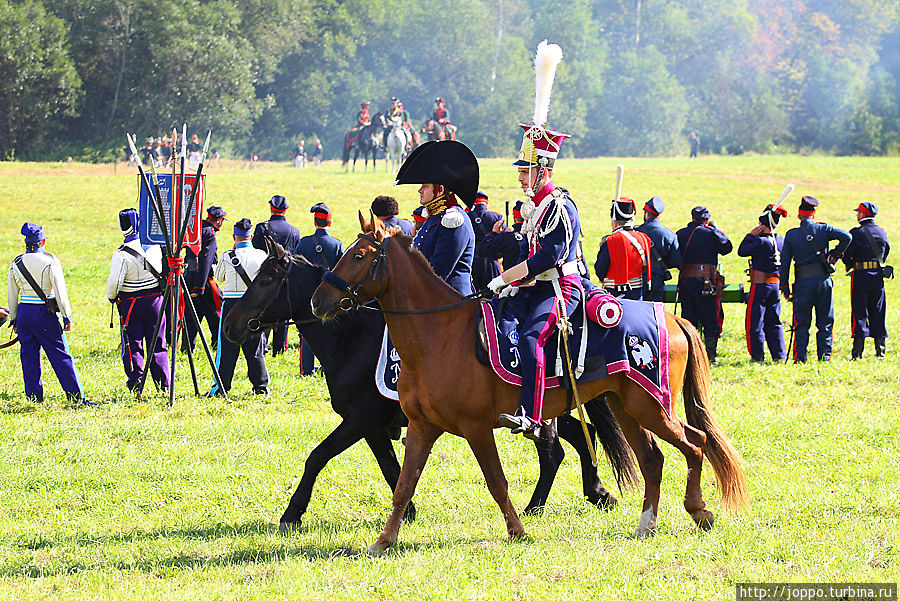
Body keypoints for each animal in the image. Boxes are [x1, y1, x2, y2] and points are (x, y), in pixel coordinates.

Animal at [221, 239, 636, 528]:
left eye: (266, 279)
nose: (232, 323)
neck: (354, 340)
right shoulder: (376, 426)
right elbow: (392, 468)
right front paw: (408, 511)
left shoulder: (362, 420)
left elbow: (317, 457)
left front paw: (292, 513)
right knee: (574, 440)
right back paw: (583, 495)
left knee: (563, 447)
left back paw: (558, 500)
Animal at [312, 213, 748, 556]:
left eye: (359, 255)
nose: (318, 301)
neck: (437, 334)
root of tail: (673, 317)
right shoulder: (421, 427)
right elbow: (403, 485)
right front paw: (383, 541)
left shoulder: (475, 428)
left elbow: (496, 481)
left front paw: (518, 531)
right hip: (626, 406)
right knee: (653, 458)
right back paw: (646, 523)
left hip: (652, 406)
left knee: (695, 442)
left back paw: (699, 511)